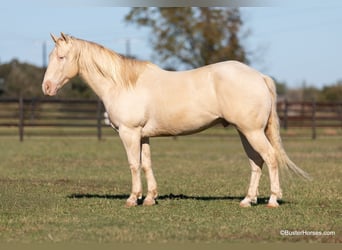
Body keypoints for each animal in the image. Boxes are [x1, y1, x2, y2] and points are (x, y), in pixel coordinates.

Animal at [42, 33, 310, 208]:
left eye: (62, 57)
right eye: (51, 55)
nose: (47, 87)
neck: (123, 84)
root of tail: (259, 77)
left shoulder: (129, 133)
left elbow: (133, 164)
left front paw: (133, 198)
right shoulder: (143, 136)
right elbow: (147, 164)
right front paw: (150, 198)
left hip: (252, 132)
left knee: (270, 158)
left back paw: (273, 200)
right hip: (245, 132)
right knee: (257, 162)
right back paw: (247, 200)